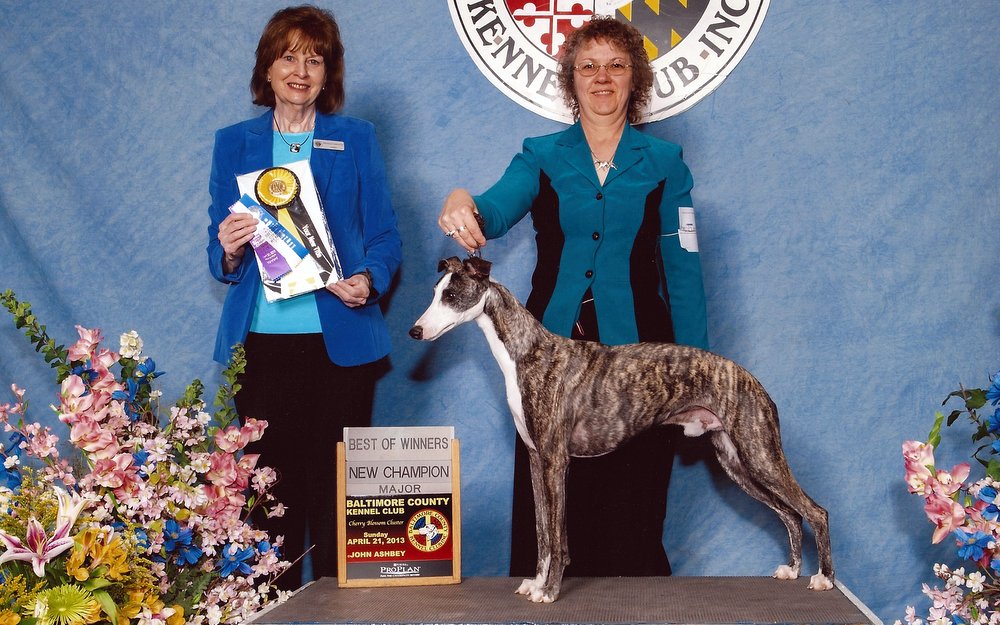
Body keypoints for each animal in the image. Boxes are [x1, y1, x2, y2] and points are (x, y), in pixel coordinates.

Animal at [410, 256, 832, 604]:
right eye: (432, 292)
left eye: (450, 295)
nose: (414, 331)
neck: (527, 353)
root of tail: (754, 382)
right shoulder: (535, 459)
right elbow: (543, 534)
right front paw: (536, 583)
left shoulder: (556, 461)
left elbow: (558, 538)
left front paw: (550, 591)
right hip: (736, 462)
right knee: (790, 515)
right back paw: (792, 570)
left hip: (759, 453)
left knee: (814, 511)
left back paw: (824, 578)